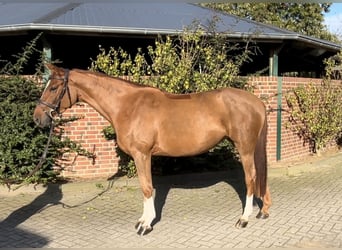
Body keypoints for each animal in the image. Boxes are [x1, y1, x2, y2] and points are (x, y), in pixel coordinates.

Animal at [32, 63, 272, 235]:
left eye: (53, 87)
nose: (37, 118)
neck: (128, 106)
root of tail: (257, 103)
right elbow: (147, 188)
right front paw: (144, 220)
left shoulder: (142, 155)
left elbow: (147, 188)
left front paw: (145, 224)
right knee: (261, 174)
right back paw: (263, 212)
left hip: (245, 148)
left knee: (251, 177)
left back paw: (244, 219)